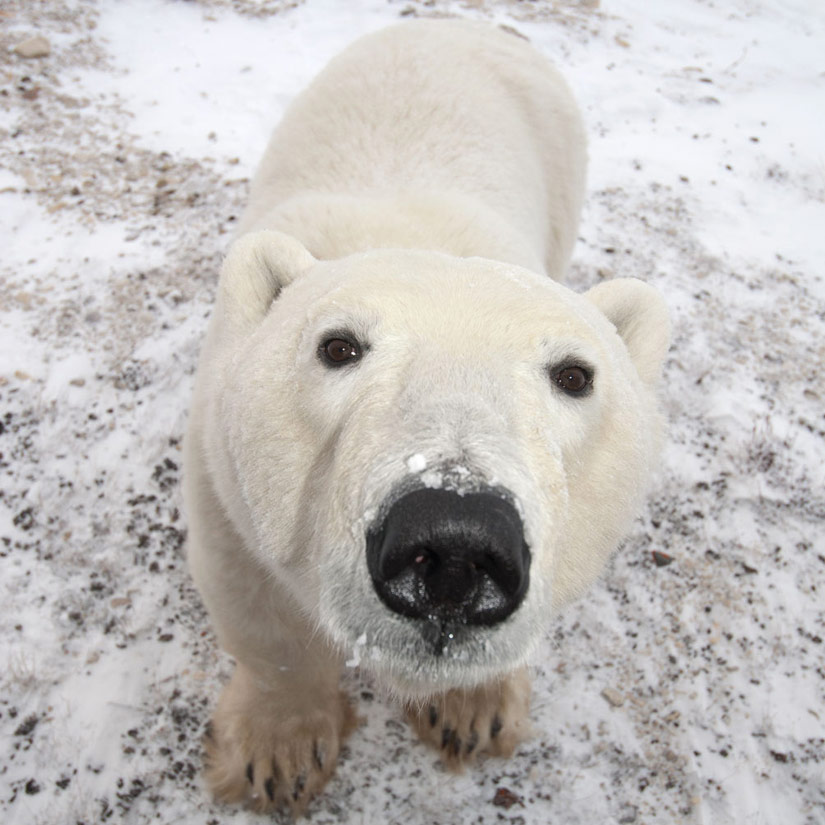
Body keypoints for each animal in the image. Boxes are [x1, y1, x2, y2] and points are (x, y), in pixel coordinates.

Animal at [183, 18, 670, 816]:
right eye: (337, 346)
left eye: (574, 375)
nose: (455, 545)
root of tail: (462, 20)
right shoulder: (223, 480)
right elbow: (261, 612)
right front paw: (275, 755)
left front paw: (472, 712)